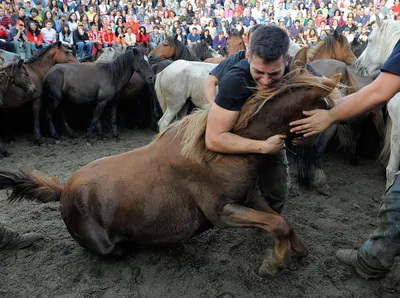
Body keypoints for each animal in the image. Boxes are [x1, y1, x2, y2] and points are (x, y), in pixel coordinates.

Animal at [0, 67, 340, 278]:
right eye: (325, 107)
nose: (327, 147)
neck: (221, 149)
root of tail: (63, 189)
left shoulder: (248, 196)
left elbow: (281, 221)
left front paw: (298, 251)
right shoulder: (222, 211)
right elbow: (277, 224)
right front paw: (273, 263)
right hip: (108, 247)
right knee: (120, 249)